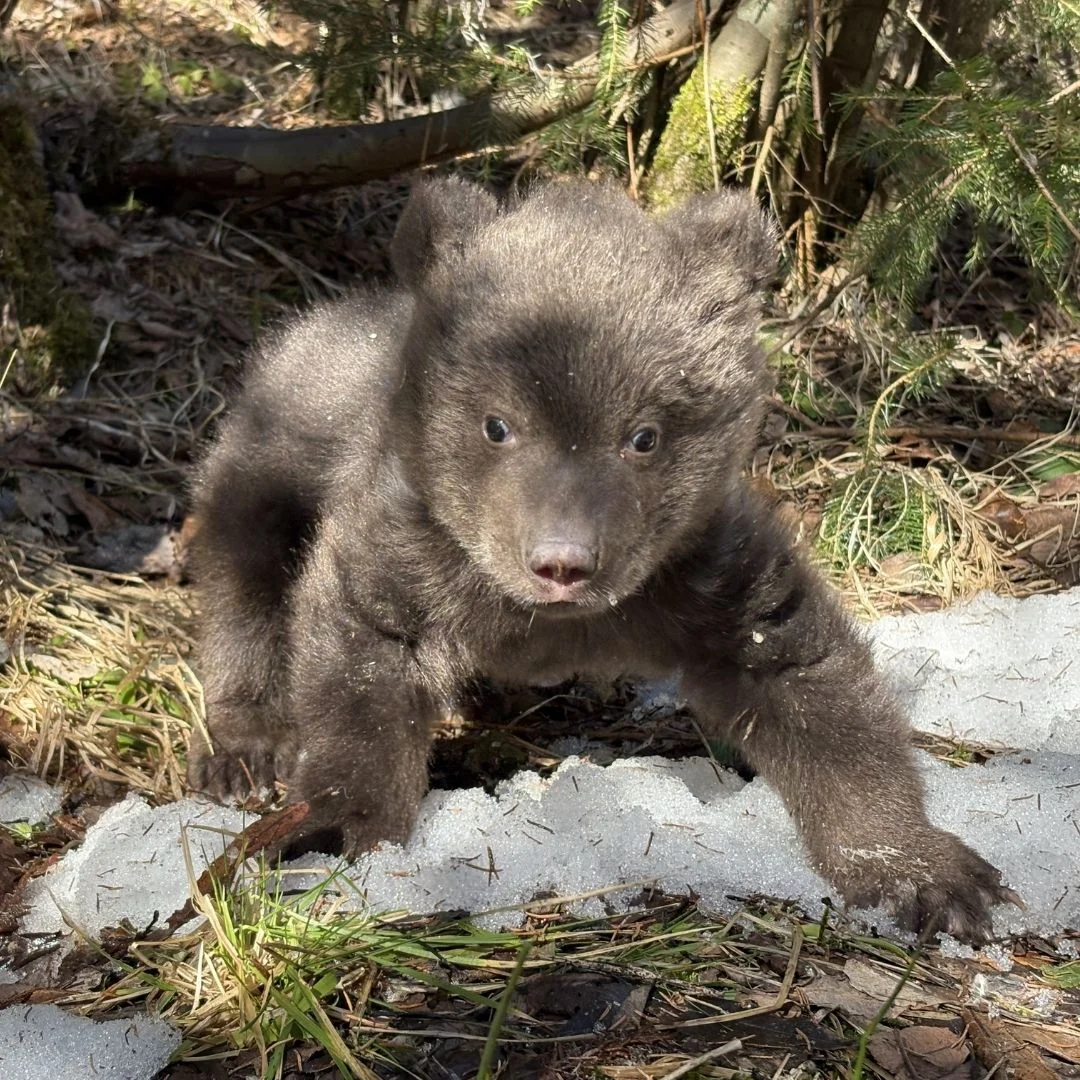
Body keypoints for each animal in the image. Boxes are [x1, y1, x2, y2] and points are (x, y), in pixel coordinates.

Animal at [187, 177, 1019, 942]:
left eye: (644, 435)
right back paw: (244, 751)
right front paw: (331, 832)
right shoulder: (406, 551)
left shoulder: (712, 575)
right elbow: (357, 673)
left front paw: (923, 871)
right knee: (242, 580)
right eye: (497, 424)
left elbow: (816, 689)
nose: (562, 562)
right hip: (267, 463)